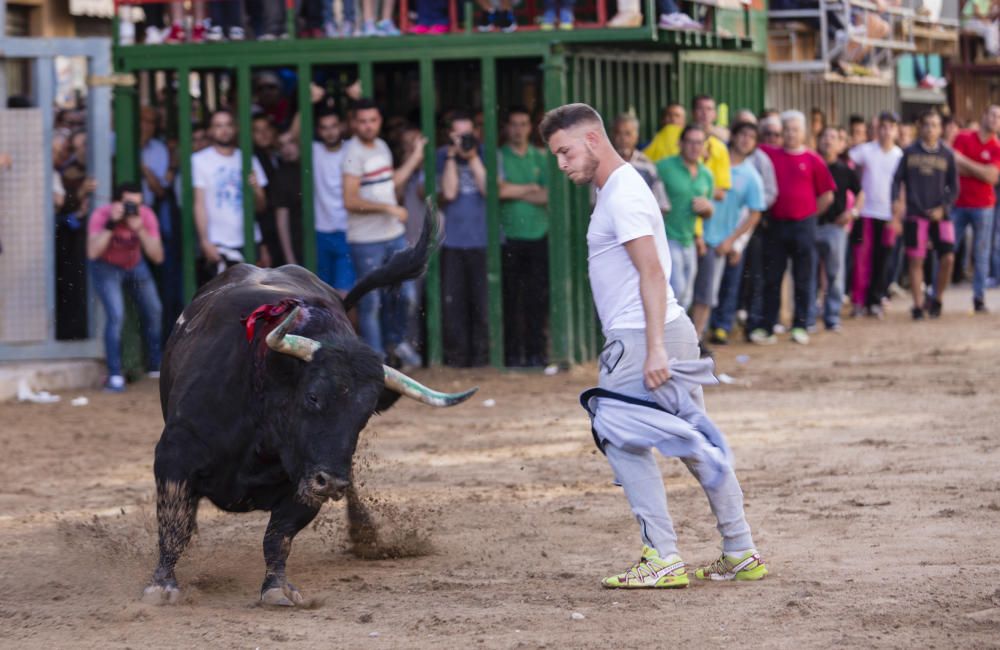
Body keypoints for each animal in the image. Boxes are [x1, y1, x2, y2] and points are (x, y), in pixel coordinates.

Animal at [140, 209, 476, 608]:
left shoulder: (305, 483)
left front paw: (277, 588)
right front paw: (162, 584)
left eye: (364, 415)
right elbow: (173, 522)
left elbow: (278, 537)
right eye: (313, 396)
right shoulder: (175, 455)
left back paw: (365, 534)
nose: (331, 481)